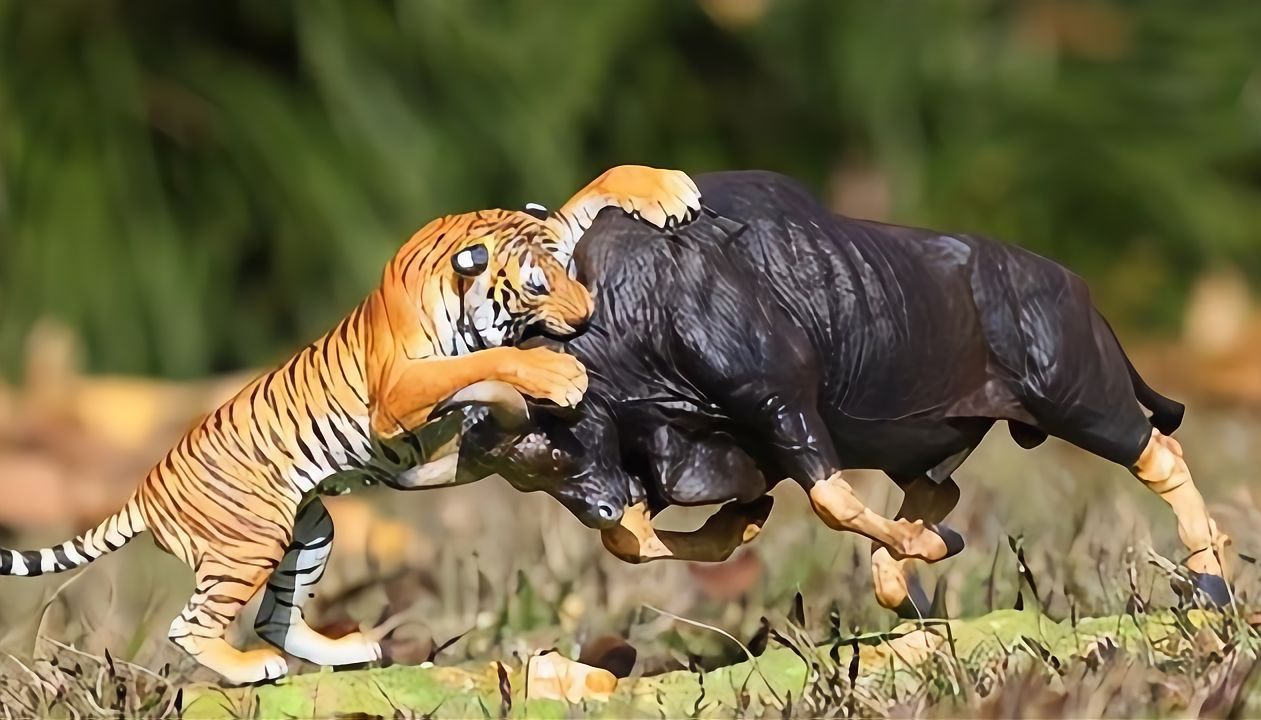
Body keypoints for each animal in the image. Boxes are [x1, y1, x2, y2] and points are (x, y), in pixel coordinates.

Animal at [0, 165, 701, 685]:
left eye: (567, 270)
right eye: (533, 285)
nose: (584, 316)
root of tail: (143, 492)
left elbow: (584, 195)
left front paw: (668, 189)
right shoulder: (399, 390)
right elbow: (482, 361)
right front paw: (552, 375)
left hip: (309, 531)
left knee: (274, 615)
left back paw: (346, 651)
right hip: (249, 541)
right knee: (192, 625)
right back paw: (252, 668)